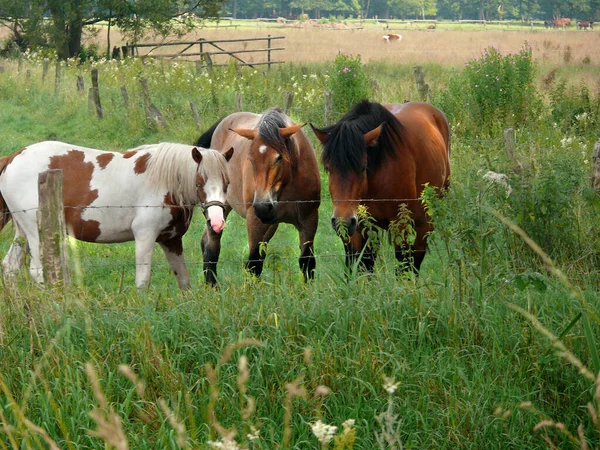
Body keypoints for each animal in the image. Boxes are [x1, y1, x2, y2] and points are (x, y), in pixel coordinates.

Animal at [0, 140, 232, 288]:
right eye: (199, 183)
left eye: (227, 183)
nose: (217, 222)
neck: (164, 182)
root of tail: (13, 157)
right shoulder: (145, 237)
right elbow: (142, 281)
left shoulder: (171, 241)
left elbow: (183, 280)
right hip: (35, 233)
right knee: (37, 272)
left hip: (23, 233)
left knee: (10, 267)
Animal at [195, 107, 322, 284]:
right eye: (250, 158)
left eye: (279, 157)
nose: (263, 206)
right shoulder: (254, 220)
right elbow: (253, 264)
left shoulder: (309, 219)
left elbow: (307, 261)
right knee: (211, 245)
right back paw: (212, 285)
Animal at [310, 100, 450, 272]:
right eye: (329, 168)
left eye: (363, 167)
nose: (343, 222)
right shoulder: (360, 228)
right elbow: (362, 266)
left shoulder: (400, 225)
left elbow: (403, 267)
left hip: (425, 223)